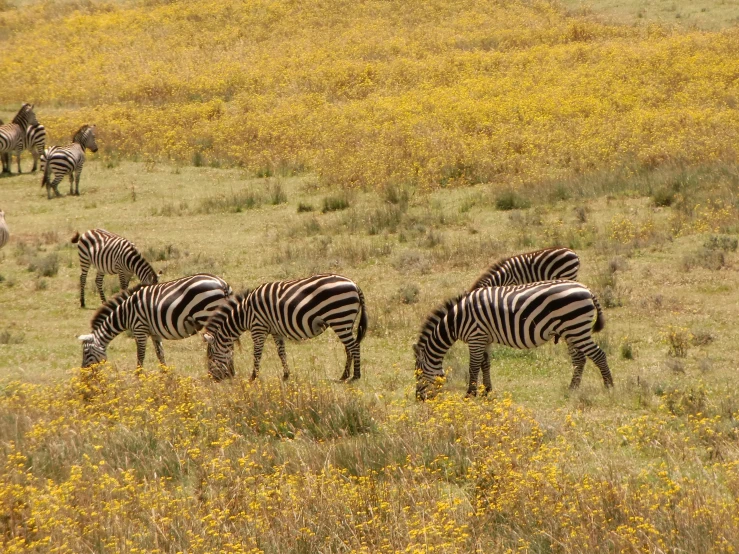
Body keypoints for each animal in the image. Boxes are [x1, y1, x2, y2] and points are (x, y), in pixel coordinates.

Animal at [79, 274, 233, 368]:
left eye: (86, 353)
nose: (84, 374)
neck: (125, 313)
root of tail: (222, 283)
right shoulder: (154, 332)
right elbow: (160, 355)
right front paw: (166, 377)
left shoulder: (139, 328)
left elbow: (140, 356)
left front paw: (138, 378)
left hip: (209, 315)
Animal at [202, 272, 370, 380]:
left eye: (210, 357)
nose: (213, 378)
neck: (244, 314)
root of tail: (354, 284)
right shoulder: (276, 331)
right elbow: (281, 353)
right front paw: (286, 374)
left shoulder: (258, 328)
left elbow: (257, 354)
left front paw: (254, 376)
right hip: (346, 321)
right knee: (348, 347)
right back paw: (344, 375)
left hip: (340, 317)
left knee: (354, 346)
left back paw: (356, 375)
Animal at [416, 280, 612, 396]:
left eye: (418, 374)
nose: (419, 399)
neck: (457, 320)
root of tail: (586, 289)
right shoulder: (485, 338)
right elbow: (485, 365)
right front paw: (487, 391)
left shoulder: (476, 336)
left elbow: (473, 367)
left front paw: (470, 394)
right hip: (571, 331)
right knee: (580, 359)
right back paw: (573, 389)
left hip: (576, 327)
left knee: (599, 355)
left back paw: (609, 387)